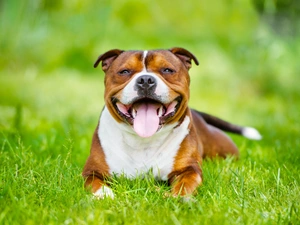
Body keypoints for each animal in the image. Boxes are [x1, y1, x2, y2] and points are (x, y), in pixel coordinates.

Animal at [81, 47, 260, 199]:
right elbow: (95, 182)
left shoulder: (189, 170)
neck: (143, 141)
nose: (145, 80)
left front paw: (177, 196)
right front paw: (104, 195)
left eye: (167, 70)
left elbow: (185, 183)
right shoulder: (92, 170)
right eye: (125, 71)